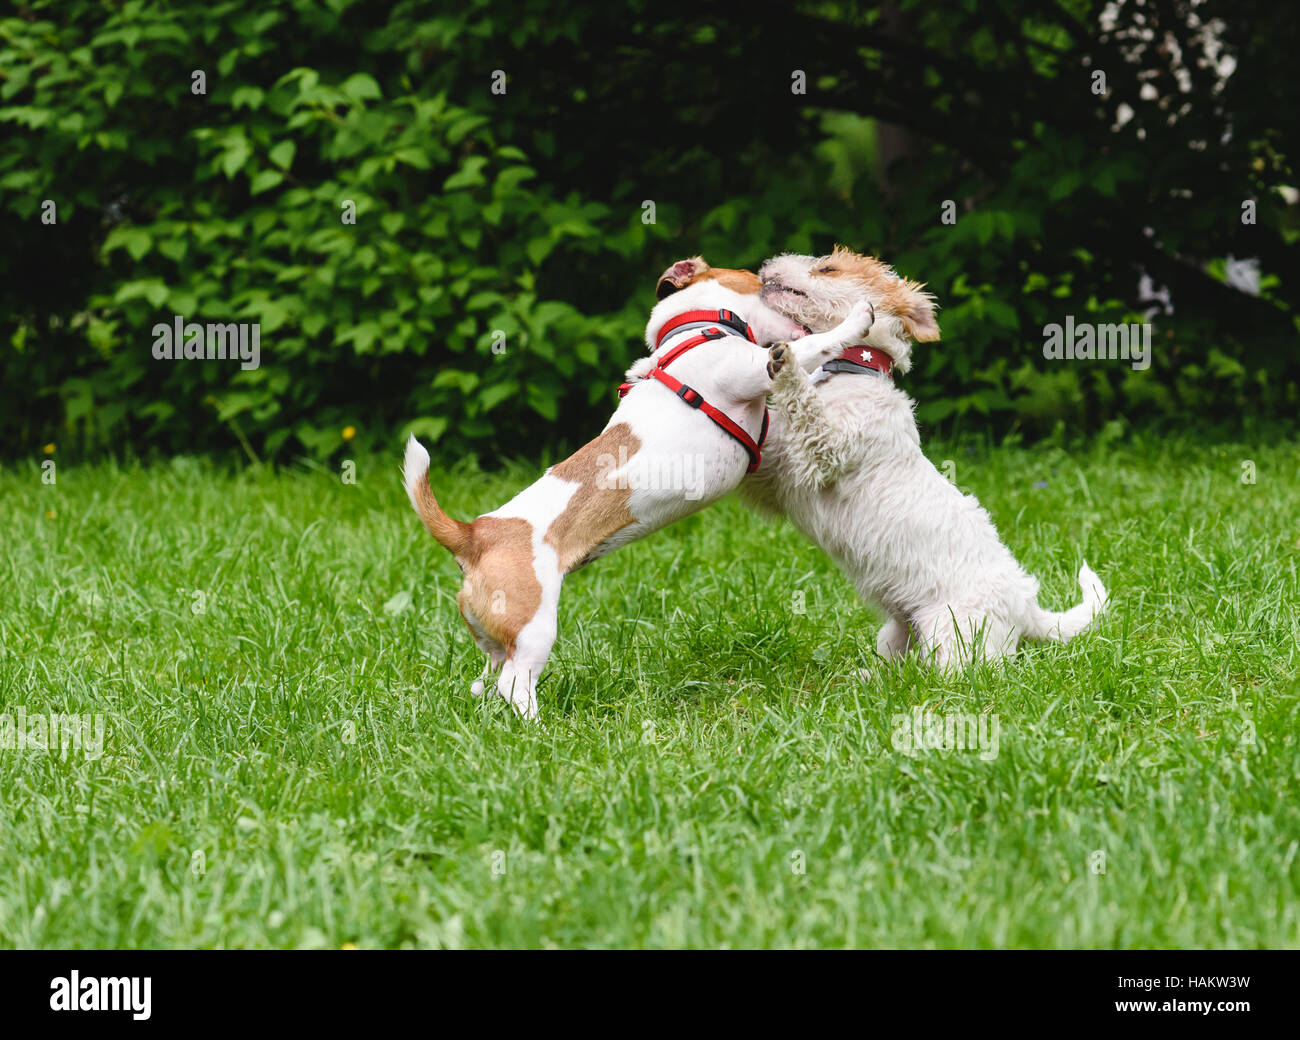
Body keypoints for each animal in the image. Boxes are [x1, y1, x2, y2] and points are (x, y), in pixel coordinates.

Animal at [403, 256, 873, 717]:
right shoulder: (753, 367)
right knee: (514, 686)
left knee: (484, 681)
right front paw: (857, 318)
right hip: (534, 626)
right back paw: (541, 727)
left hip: (498, 640)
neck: (695, 327)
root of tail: (473, 535)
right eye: (758, 281)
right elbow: (810, 349)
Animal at [748, 245, 1102, 665]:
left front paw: (786, 365)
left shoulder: (826, 448)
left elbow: (806, 405)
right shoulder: (778, 476)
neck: (849, 373)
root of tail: (1027, 608)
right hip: (897, 630)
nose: (766, 264)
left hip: (953, 631)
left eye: (828, 268)